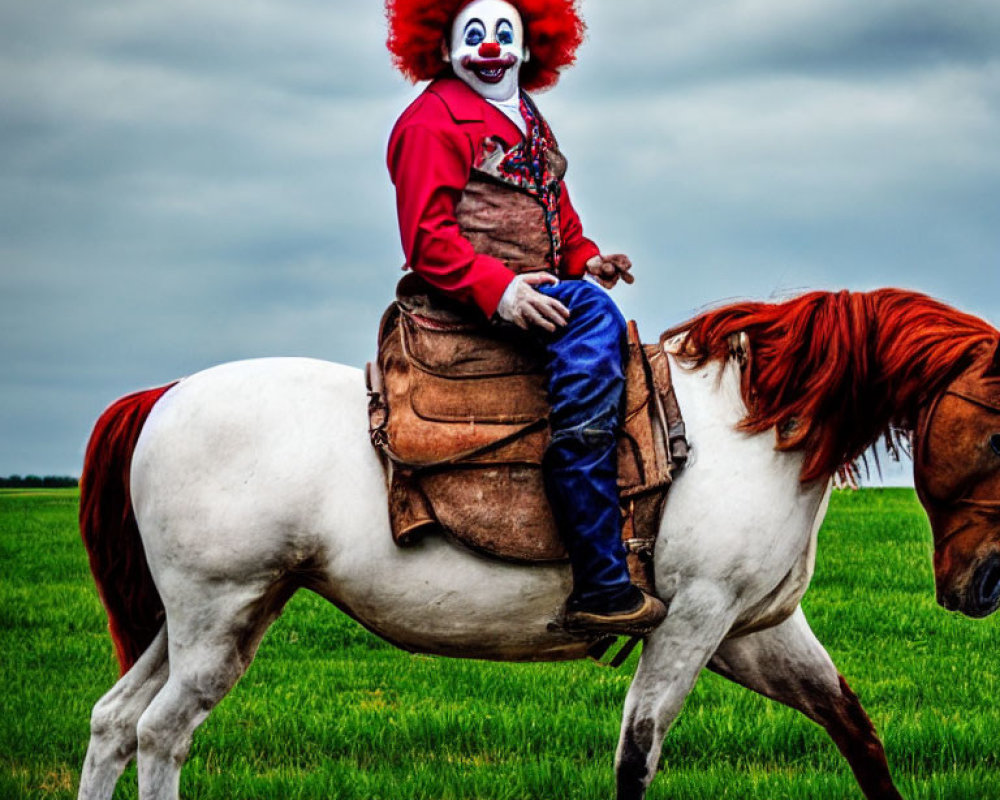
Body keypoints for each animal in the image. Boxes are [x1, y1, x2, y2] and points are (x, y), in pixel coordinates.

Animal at [74, 290, 996, 800]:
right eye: (994, 436)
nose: (981, 588)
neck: (751, 426)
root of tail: (165, 394)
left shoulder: (750, 633)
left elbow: (857, 731)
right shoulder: (691, 622)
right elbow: (637, 757)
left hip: (209, 618)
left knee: (114, 722)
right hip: (218, 618)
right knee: (160, 734)